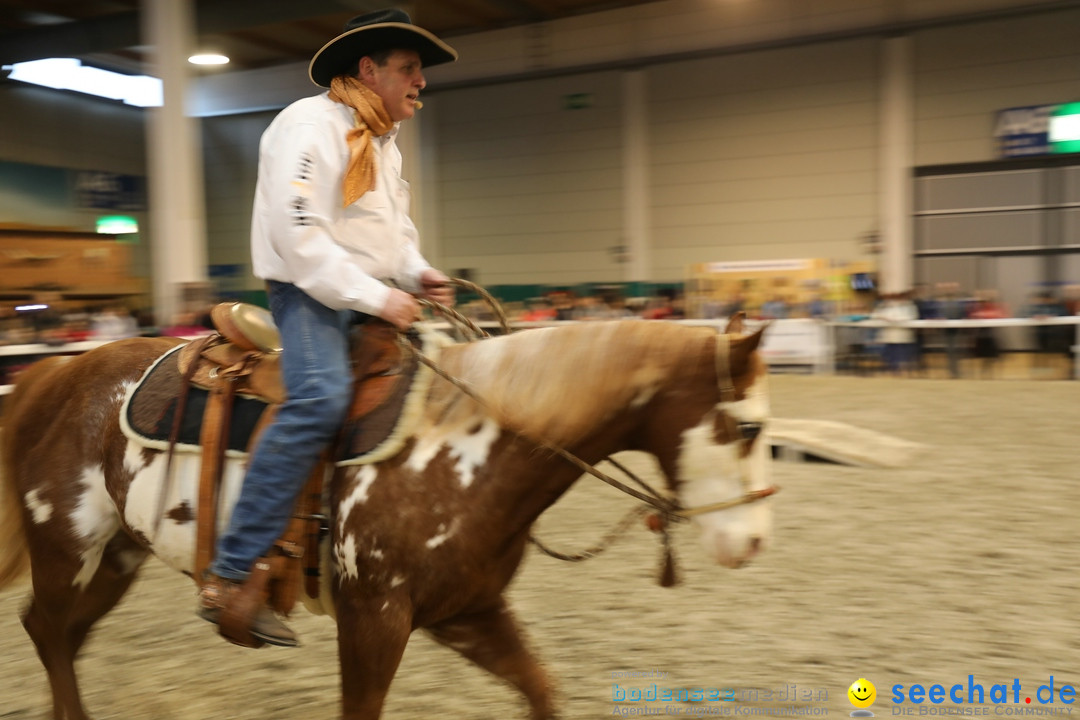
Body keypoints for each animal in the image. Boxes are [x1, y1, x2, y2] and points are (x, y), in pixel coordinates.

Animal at [0, 317, 777, 716]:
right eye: (746, 427)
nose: (752, 542)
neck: (463, 448)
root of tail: (55, 371)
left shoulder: (467, 611)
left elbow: (541, 689)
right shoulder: (374, 616)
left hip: (117, 555)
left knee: (61, 635)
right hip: (65, 543)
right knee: (46, 627)